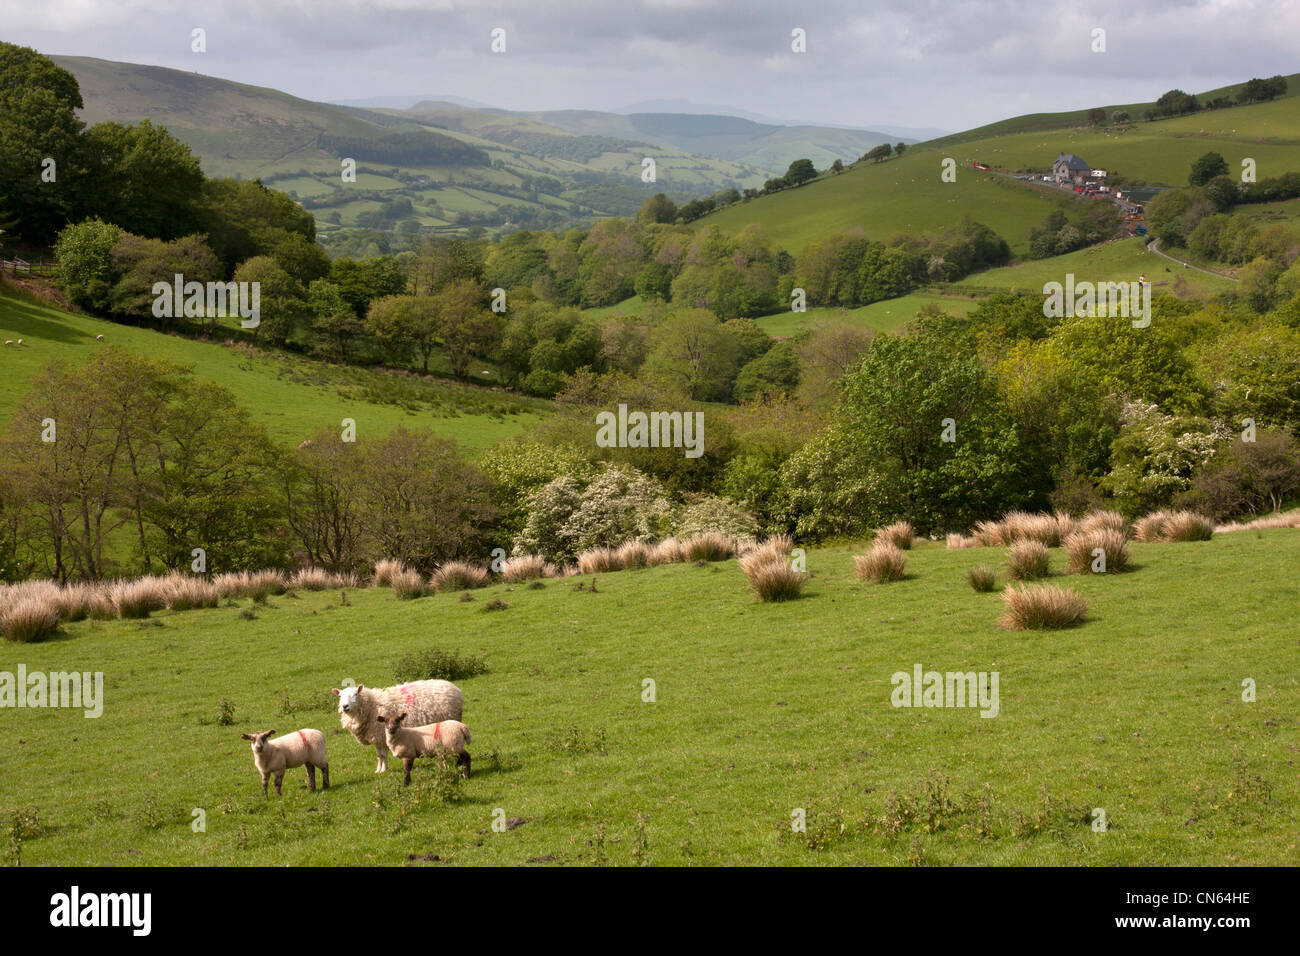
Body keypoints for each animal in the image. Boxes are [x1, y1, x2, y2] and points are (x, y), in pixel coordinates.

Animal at [332, 676, 465, 775]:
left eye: (355, 694)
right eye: (340, 696)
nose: (345, 706)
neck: (371, 706)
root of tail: (454, 688)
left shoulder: (381, 735)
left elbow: (383, 755)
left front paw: (383, 770)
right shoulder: (376, 738)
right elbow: (379, 756)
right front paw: (378, 770)